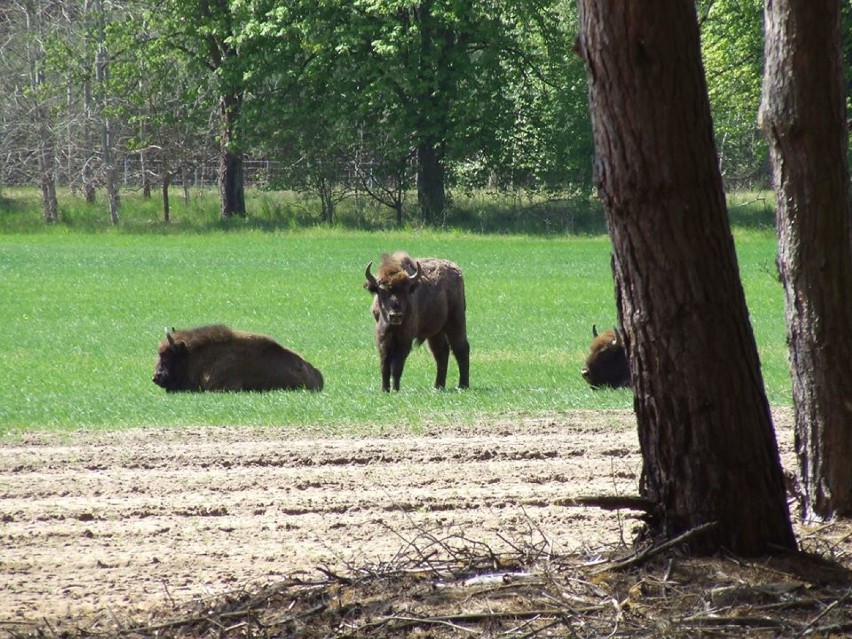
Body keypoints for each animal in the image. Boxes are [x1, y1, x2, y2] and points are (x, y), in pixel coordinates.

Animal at [362, 252, 470, 392]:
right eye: (381, 291)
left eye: (406, 290)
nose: (395, 315)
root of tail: (456, 270)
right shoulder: (383, 338)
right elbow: (384, 365)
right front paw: (384, 389)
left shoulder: (405, 339)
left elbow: (396, 366)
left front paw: (395, 390)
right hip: (436, 332)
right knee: (441, 352)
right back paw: (438, 386)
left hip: (456, 321)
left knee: (461, 348)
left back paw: (463, 385)